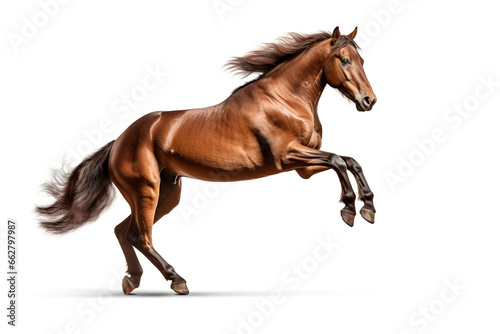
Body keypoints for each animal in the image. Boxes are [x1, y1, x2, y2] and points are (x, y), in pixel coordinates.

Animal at [37, 27, 376, 296]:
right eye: (344, 60)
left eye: (361, 60)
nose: (369, 101)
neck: (285, 100)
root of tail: (118, 142)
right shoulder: (287, 156)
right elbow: (338, 160)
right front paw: (350, 209)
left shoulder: (303, 167)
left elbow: (350, 161)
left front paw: (367, 207)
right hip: (146, 190)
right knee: (139, 236)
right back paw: (177, 280)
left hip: (166, 194)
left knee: (123, 231)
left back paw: (132, 280)